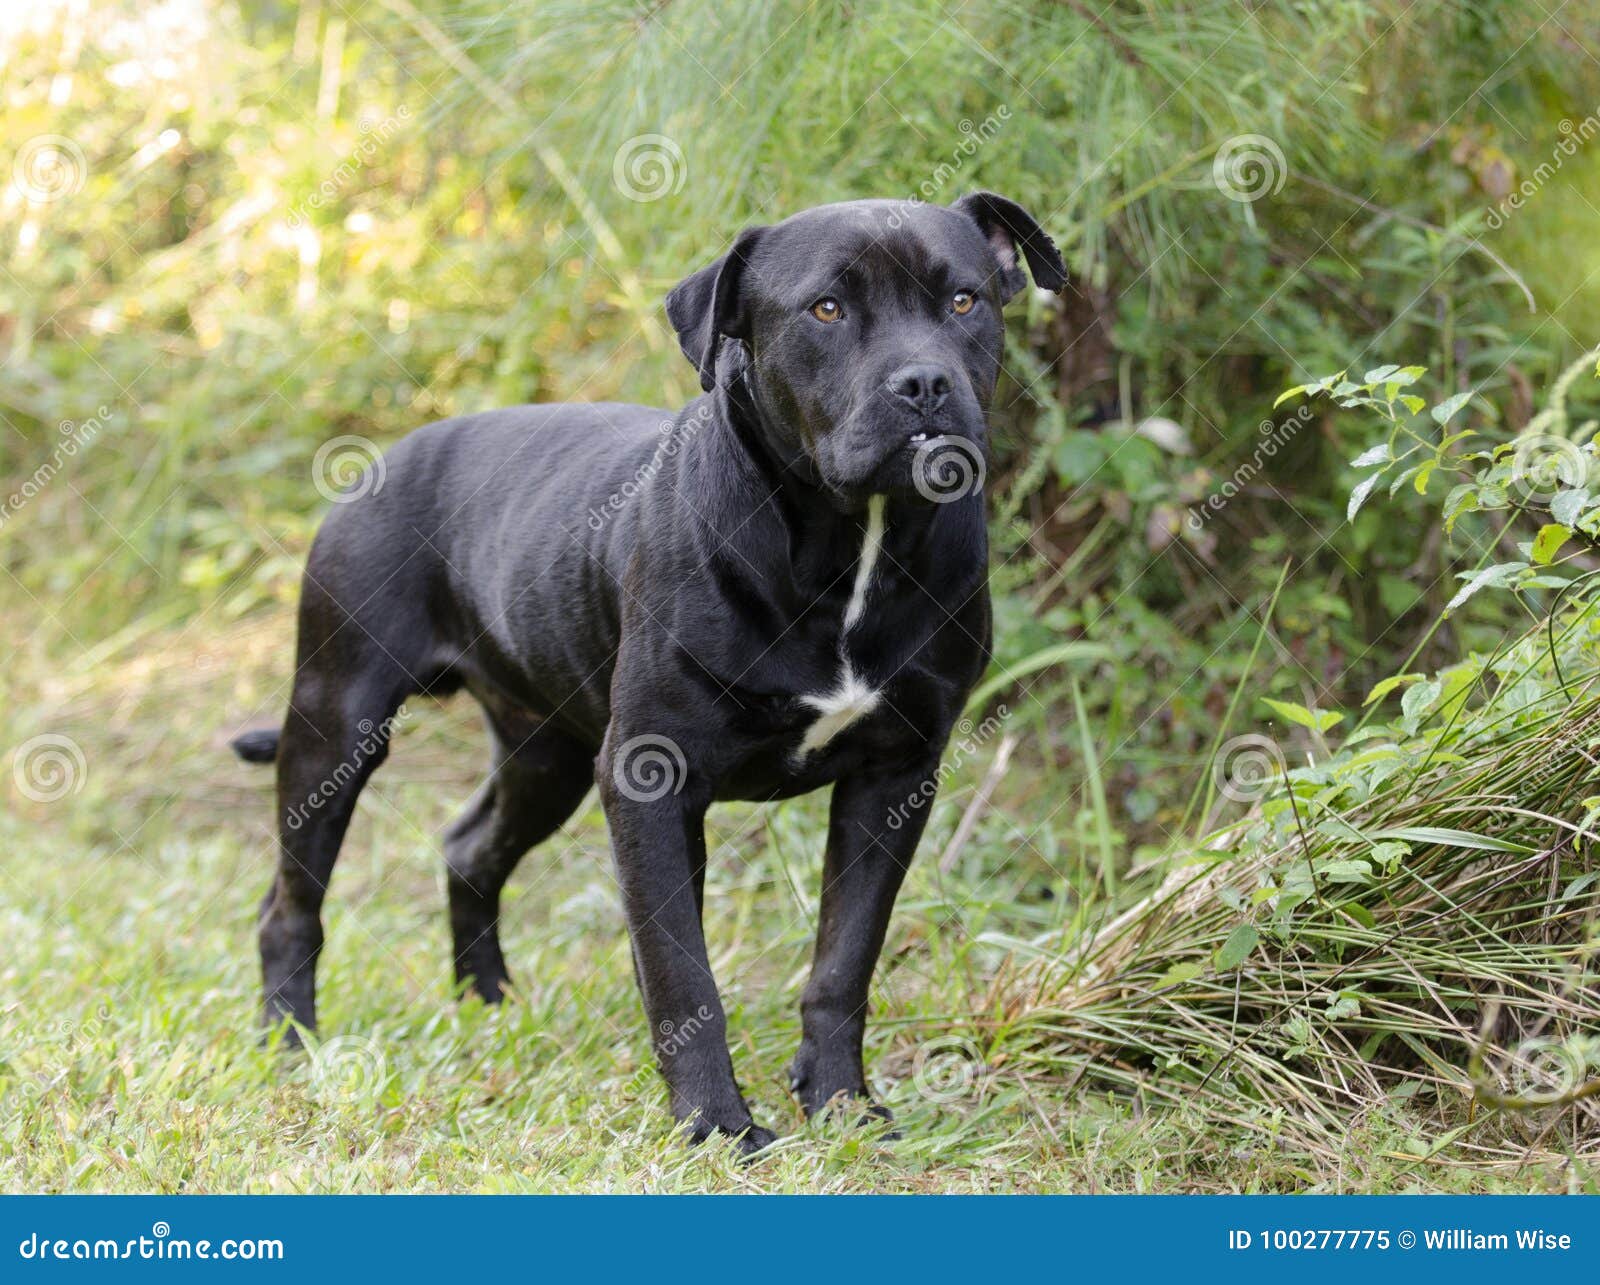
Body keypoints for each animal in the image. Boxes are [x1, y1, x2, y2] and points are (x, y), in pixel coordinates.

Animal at [233, 191, 1062, 1158]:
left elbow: (844, 958)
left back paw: (488, 1005)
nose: (923, 383)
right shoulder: (651, 778)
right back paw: (291, 1042)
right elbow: (680, 974)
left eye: (965, 300)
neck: (853, 541)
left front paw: (843, 1105)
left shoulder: (894, 776)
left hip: (545, 757)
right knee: (290, 902)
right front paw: (716, 1125)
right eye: (826, 308)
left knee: (470, 848)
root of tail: (380, 459)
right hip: (337, 727)